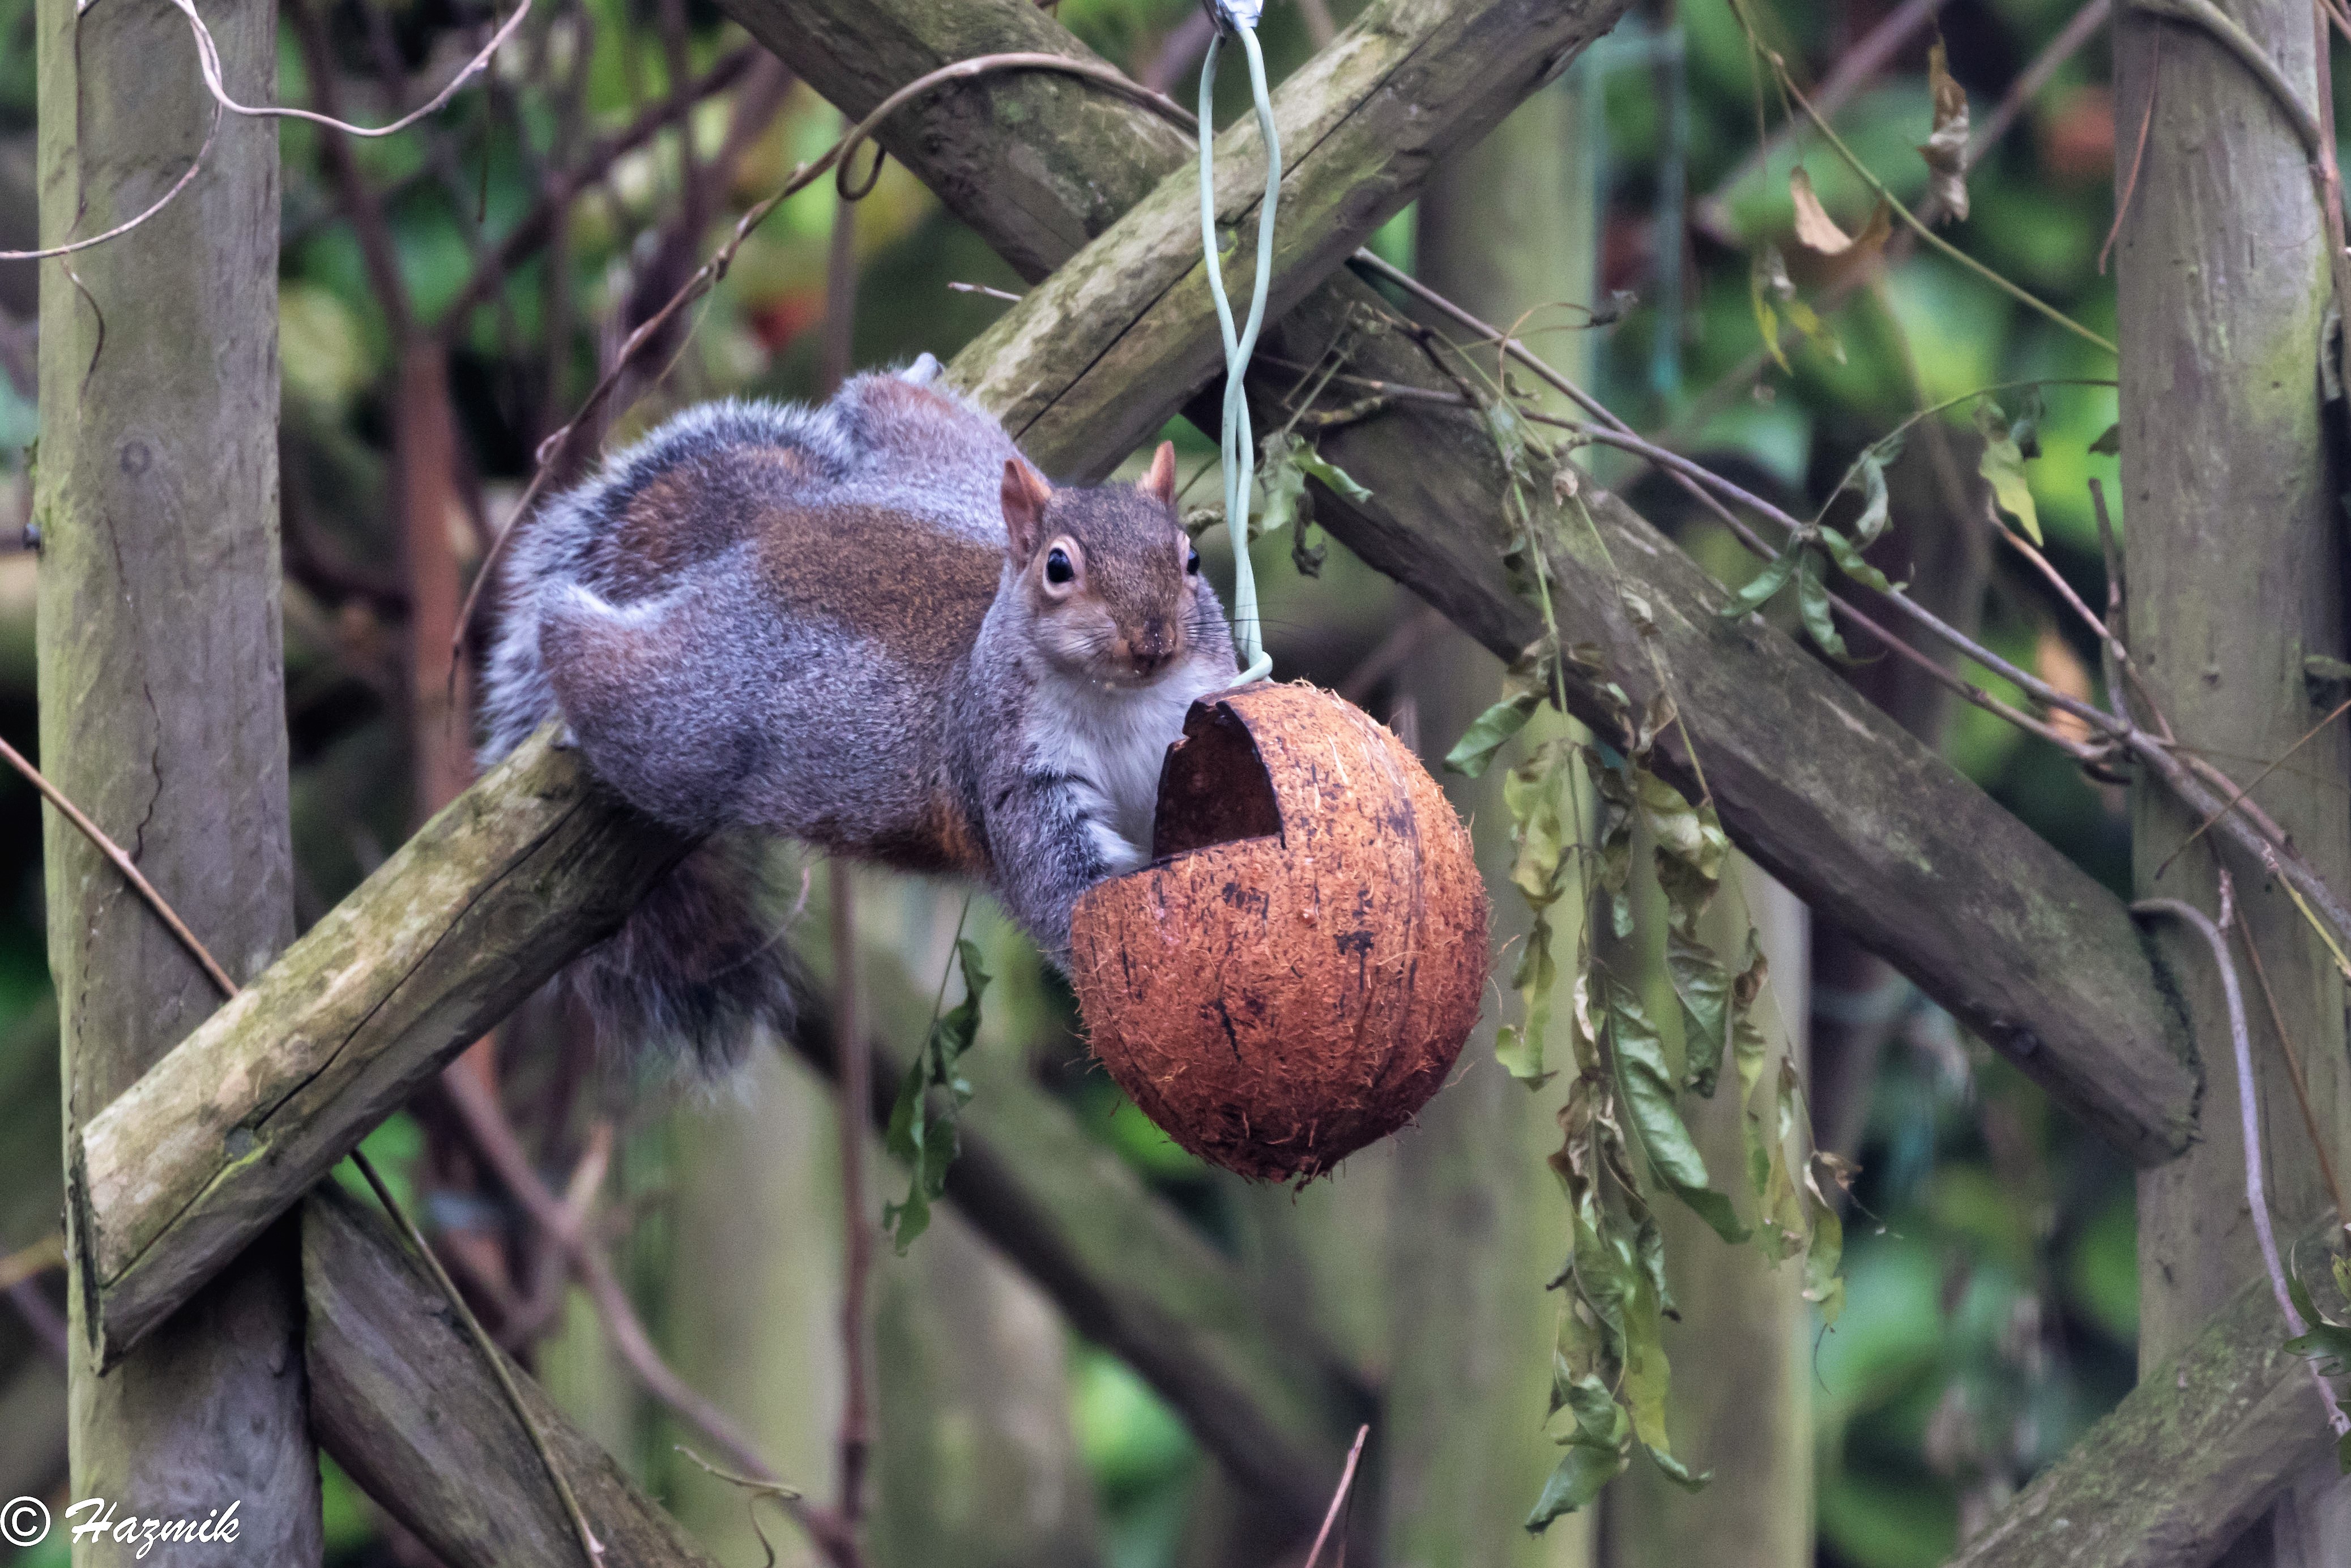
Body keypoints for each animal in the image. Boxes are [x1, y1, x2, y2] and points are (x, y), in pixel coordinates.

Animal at [484, 350, 1241, 1072]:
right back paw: (564, 649)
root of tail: (772, 524)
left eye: (1191, 559)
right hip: (681, 722)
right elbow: (1063, 891)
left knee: (889, 402)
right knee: (591, 662)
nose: (1152, 643)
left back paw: (913, 376)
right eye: (1058, 569)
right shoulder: (1013, 770)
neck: (1122, 700)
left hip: (951, 455)